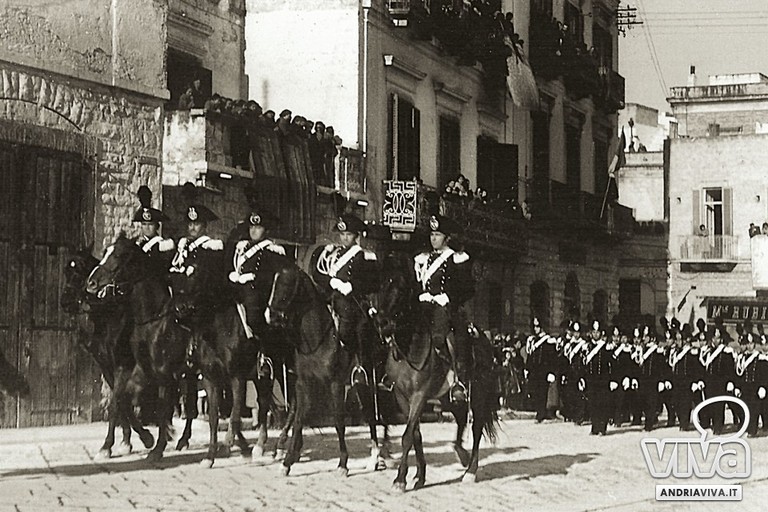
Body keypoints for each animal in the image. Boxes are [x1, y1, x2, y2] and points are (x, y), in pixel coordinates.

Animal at [60, 246, 154, 458]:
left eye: (79, 269)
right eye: (66, 271)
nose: (65, 302)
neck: (108, 316)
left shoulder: (123, 365)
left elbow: (115, 403)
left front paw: (107, 445)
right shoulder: (106, 365)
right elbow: (121, 401)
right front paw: (129, 440)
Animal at [85, 238, 219, 466]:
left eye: (119, 255)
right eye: (104, 253)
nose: (91, 283)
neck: (153, 321)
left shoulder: (156, 373)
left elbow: (157, 407)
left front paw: (155, 446)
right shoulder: (134, 371)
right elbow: (123, 402)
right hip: (191, 373)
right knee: (191, 405)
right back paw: (184, 440)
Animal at [268, 266, 388, 478]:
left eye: (286, 283)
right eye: (274, 283)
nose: (271, 315)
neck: (317, 338)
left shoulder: (335, 384)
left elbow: (338, 421)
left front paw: (343, 463)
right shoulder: (303, 383)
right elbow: (299, 417)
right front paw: (287, 461)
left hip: (368, 378)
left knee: (372, 413)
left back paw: (375, 457)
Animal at [372, 258, 498, 490]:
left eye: (401, 289)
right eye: (379, 286)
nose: (382, 324)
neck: (410, 348)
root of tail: (486, 341)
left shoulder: (419, 396)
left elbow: (407, 436)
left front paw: (400, 479)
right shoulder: (402, 397)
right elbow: (416, 435)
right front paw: (419, 476)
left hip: (478, 395)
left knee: (476, 429)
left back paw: (471, 470)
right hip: (449, 398)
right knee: (460, 421)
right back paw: (460, 453)